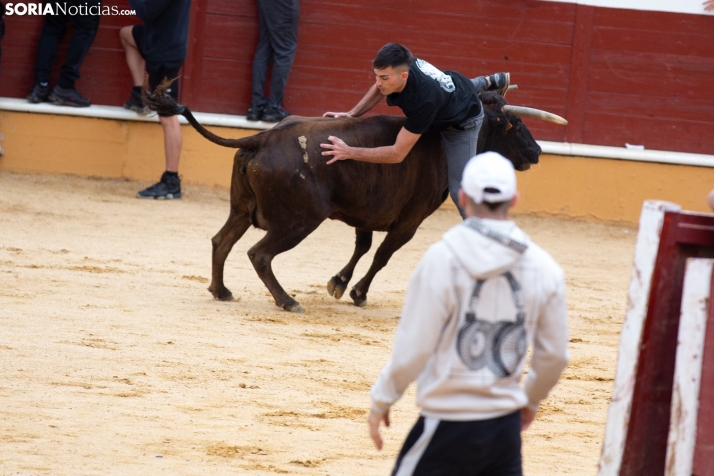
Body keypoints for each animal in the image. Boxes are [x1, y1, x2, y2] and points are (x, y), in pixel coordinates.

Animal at [146, 90, 544, 312]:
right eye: (515, 124)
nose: (537, 152)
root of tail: (261, 139)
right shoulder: (410, 221)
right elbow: (382, 254)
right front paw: (357, 292)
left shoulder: (367, 211)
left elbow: (363, 246)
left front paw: (338, 283)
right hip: (298, 221)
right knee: (259, 254)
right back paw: (287, 301)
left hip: (241, 209)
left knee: (221, 241)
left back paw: (222, 291)